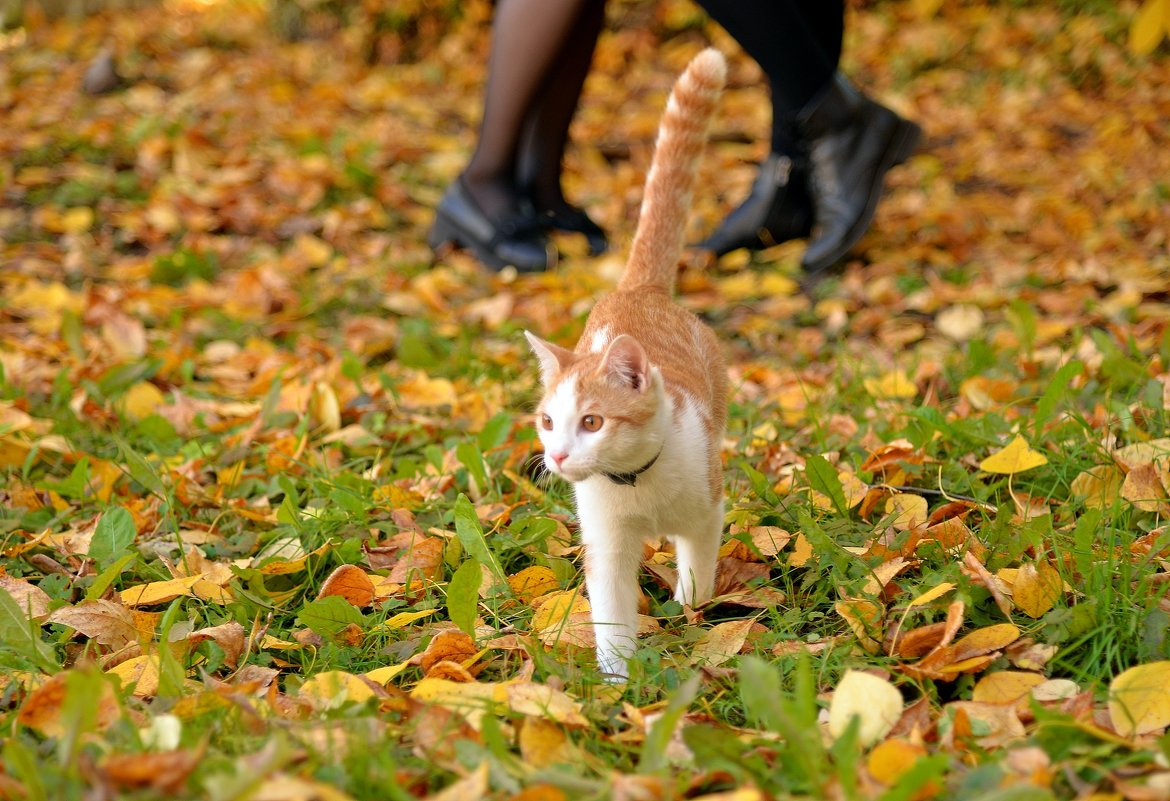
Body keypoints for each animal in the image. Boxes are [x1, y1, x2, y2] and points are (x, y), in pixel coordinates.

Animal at [526, 49, 725, 678]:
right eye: (548, 422)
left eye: (592, 421)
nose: (558, 456)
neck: (636, 484)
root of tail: (640, 291)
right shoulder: (606, 543)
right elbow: (610, 611)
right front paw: (617, 681)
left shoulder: (708, 510)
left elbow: (698, 571)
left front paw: (689, 615)